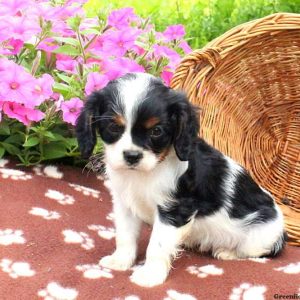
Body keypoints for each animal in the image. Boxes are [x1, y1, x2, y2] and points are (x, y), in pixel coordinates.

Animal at [75, 71, 286, 288]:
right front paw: (120, 260)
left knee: (258, 251)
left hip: (259, 237)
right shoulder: (125, 204)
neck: (148, 171)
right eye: (113, 127)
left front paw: (149, 275)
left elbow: (157, 245)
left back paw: (227, 252)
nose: (132, 156)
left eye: (156, 131)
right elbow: (125, 235)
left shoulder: (174, 209)